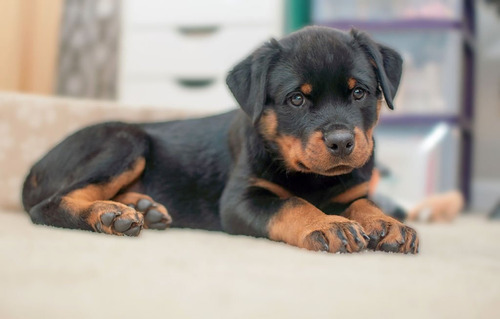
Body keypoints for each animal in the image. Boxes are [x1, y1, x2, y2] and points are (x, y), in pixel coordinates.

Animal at [20, 26, 418, 254]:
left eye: (359, 92)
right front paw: (327, 224)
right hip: (126, 141)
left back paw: (143, 208)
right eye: (296, 99)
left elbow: (364, 203)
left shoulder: (351, 191)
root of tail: (33, 168)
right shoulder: (240, 199)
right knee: (47, 206)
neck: (314, 179)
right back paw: (108, 214)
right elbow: (291, 204)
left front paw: (388, 224)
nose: (341, 142)